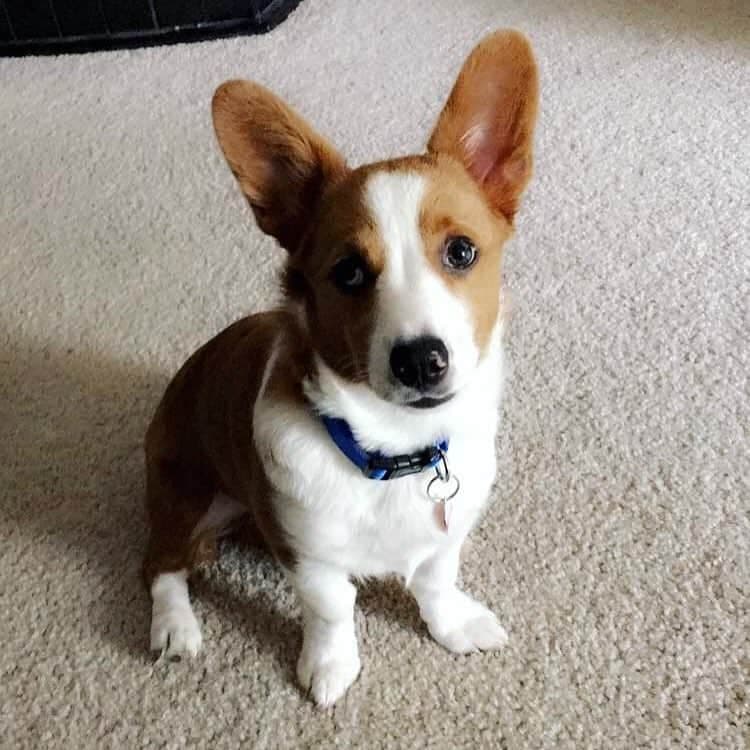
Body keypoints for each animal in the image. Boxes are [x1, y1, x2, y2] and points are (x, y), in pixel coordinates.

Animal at [142, 30, 540, 712]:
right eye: (348, 272)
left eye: (461, 251)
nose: (421, 359)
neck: (396, 453)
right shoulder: (309, 556)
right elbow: (332, 609)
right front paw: (330, 667)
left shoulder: (445, 537)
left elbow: (436, 579)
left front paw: (452, 626)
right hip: (184, 492)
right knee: (161, 563)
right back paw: (174, 626)